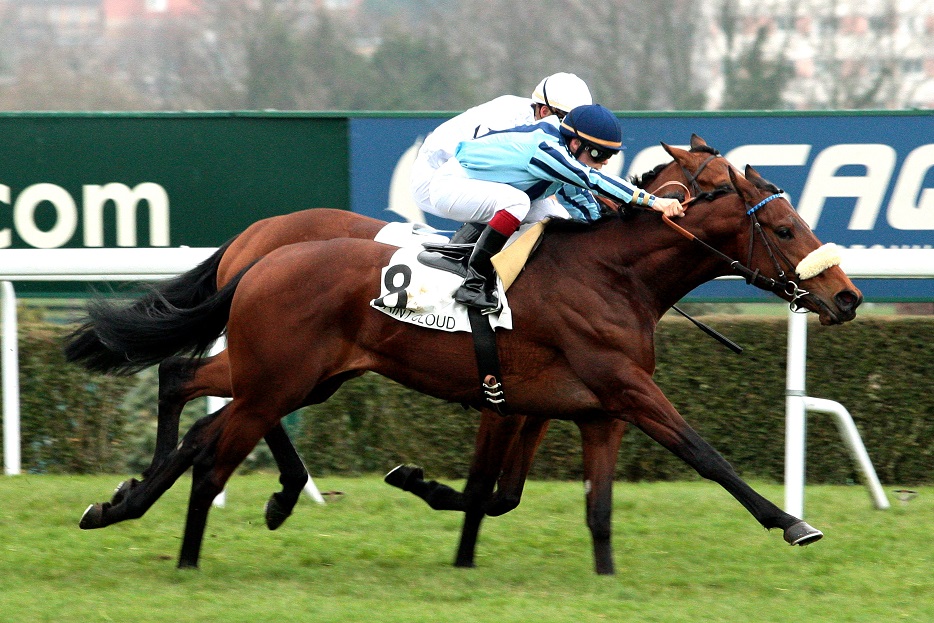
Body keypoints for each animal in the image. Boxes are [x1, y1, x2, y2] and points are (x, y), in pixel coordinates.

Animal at [64, 162, 864, 572]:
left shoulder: (558, 403)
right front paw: (793, 521)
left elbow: (517, 495)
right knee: (208, 415)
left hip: (304, 374)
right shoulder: (620, 388)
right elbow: (704, 452)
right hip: (284, 372)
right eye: (785, 227)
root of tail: (259, 250)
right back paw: (210, 506)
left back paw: (131, 496)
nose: (847, 296)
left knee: (187, 389)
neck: (612, 273)